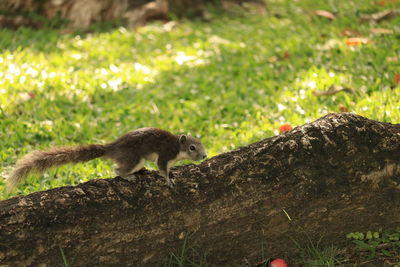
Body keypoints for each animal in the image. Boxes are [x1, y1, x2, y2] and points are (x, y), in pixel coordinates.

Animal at [7, 127, 206, 191]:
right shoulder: (165, 154)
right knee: (117, 169)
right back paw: (128, 176)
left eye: (200, 143)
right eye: (192, 147)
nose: (204, 156)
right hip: (134, 158)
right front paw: (168, 180)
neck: (177, 146)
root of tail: (112, 147)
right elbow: (162, 168)